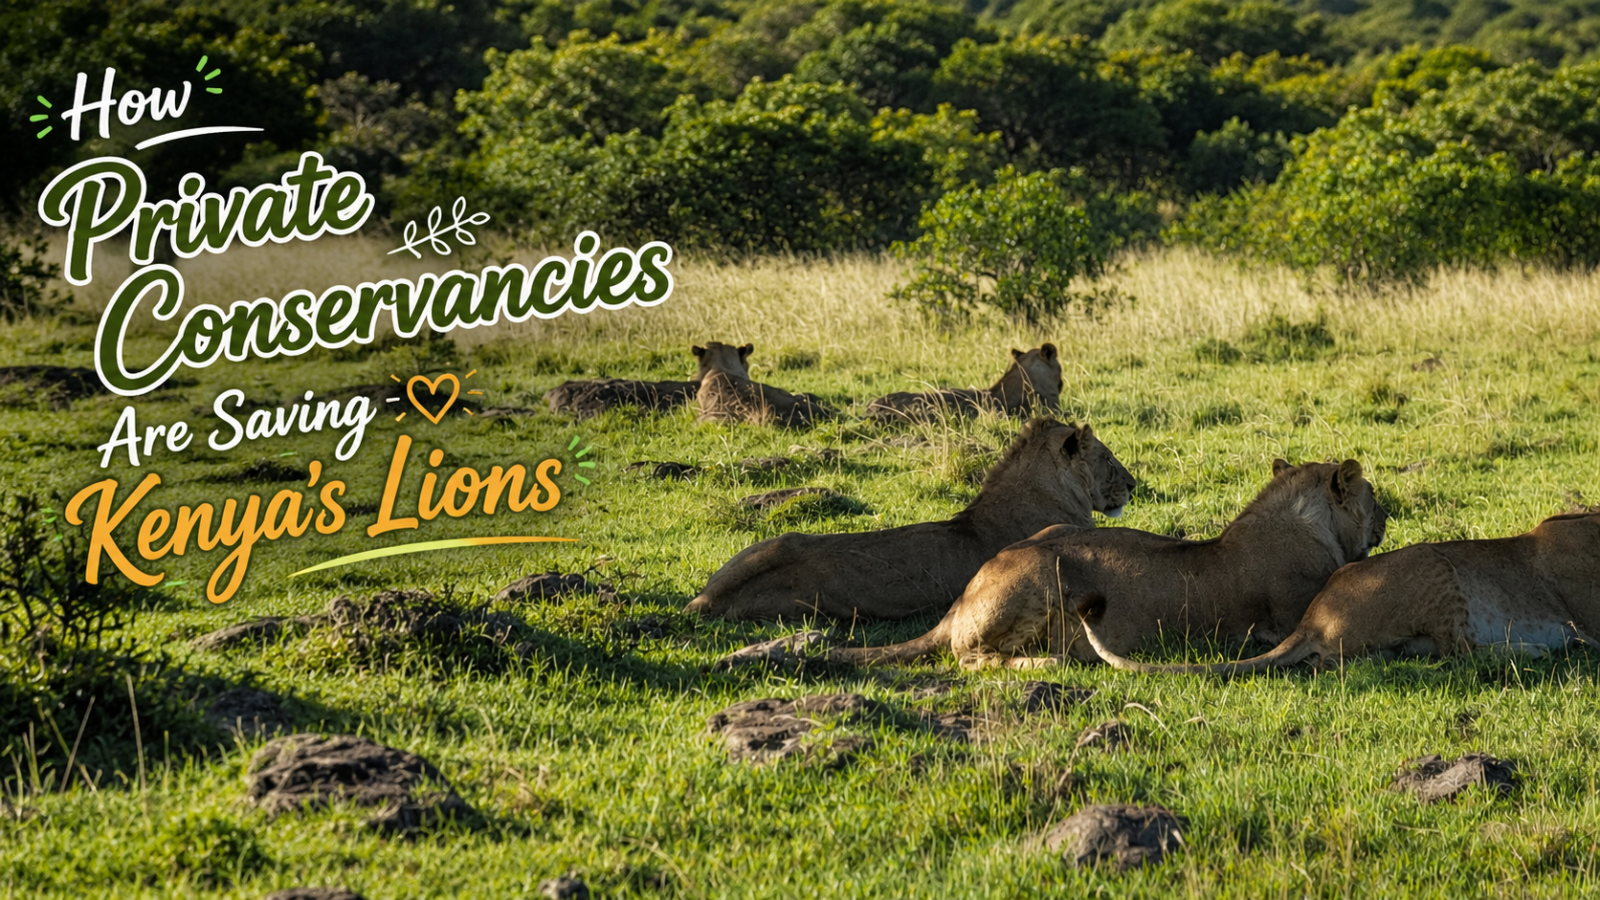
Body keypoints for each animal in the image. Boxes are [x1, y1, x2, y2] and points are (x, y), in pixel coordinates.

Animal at [832, 459, 1388, 668]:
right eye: (1374, 496)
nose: (1387, 516)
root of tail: (962, 598)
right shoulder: (1292, 615)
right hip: (1042, 571)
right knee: (969, 658)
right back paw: (1048, 661)